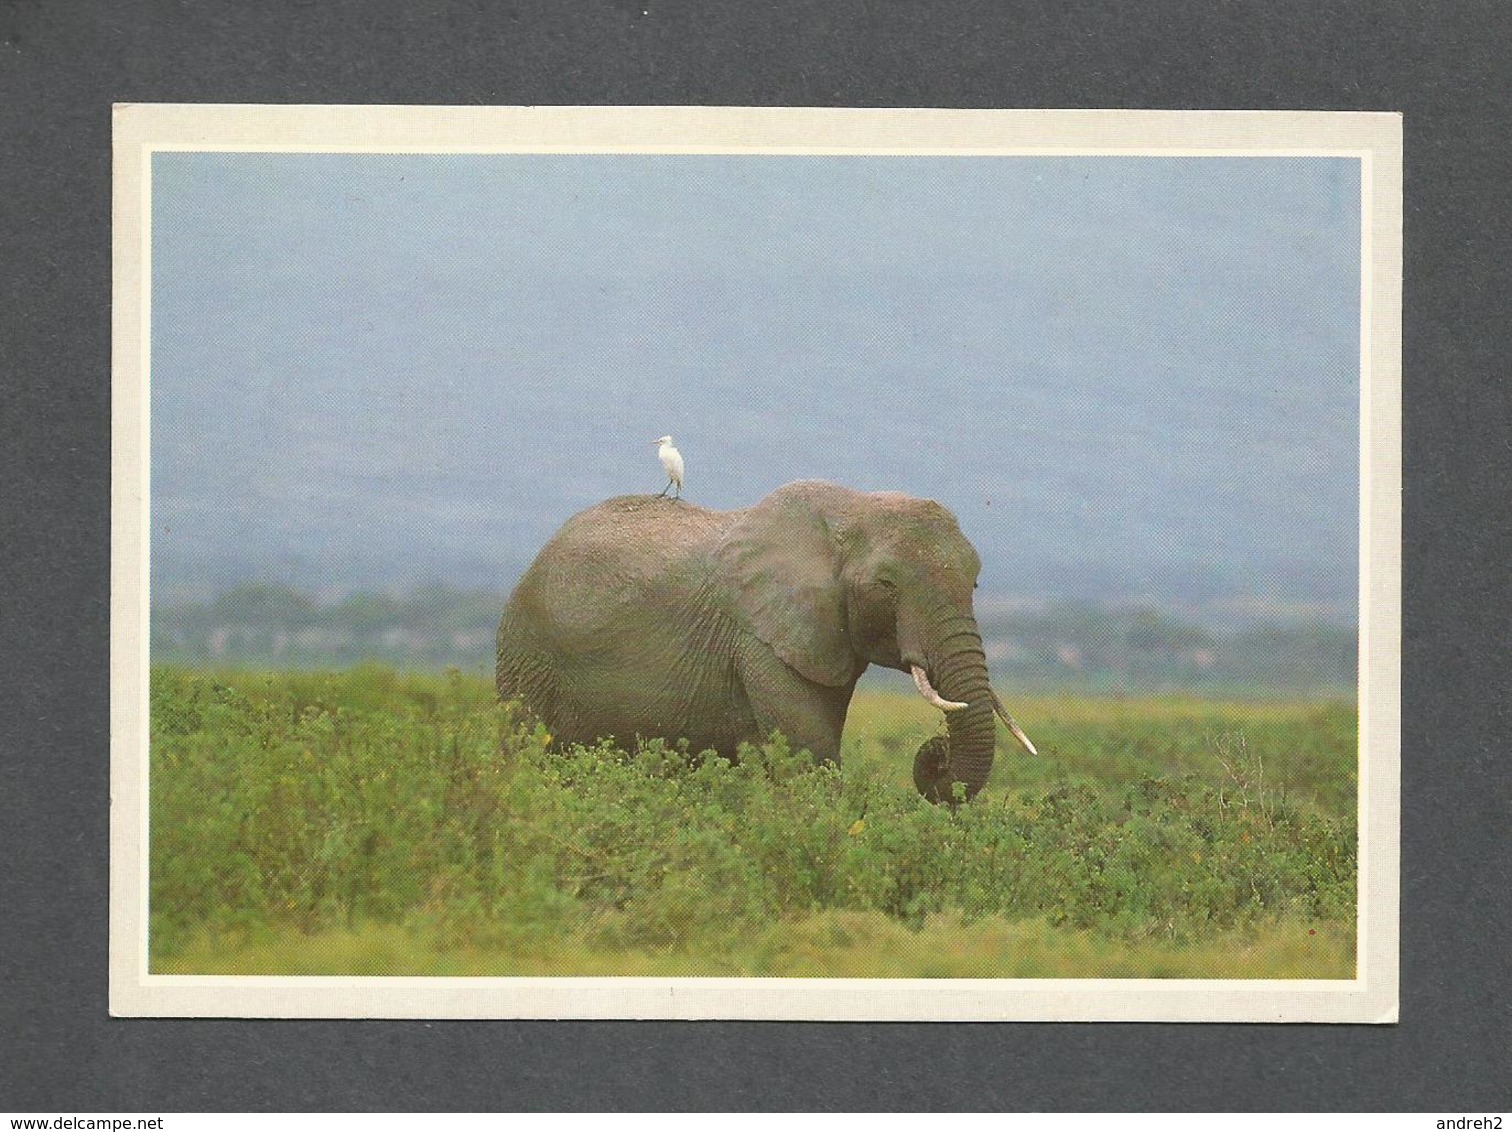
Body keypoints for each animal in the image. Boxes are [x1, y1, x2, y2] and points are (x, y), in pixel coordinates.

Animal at [495, 480, 1040, 797]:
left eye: (975, 583)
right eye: (886, 585)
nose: (936, 754)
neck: (849, 514)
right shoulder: (759, 640)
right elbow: (810, 750)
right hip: (529, 657)